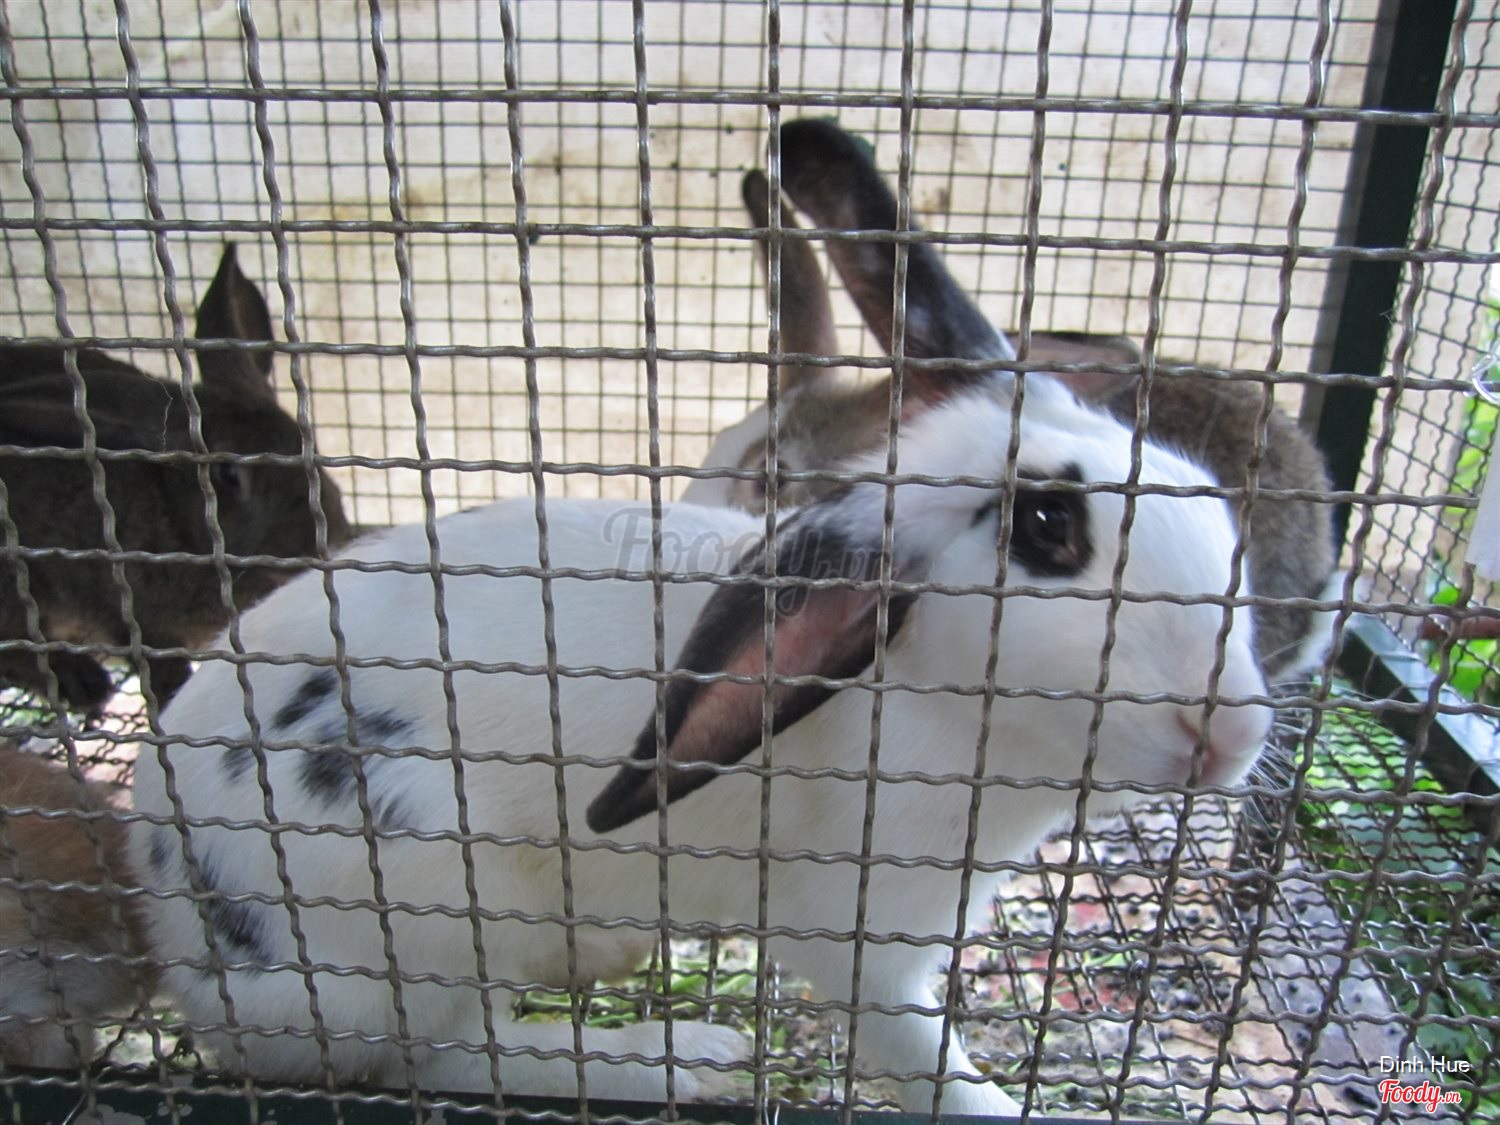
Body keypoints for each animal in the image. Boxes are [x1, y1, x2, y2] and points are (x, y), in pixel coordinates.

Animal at [129, 354, 1271, 1113]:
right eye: (1047, 527)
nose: (1231, 731)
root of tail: (181, 936)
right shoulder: (862, 944)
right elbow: (922, 1059)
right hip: (429, 905)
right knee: (452, 1056)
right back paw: (684, 1056)